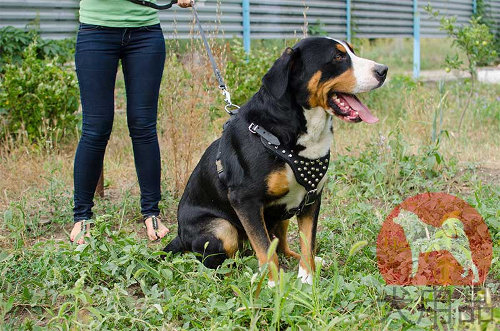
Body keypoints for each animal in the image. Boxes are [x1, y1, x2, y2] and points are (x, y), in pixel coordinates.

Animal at [164, 37, 386, 286]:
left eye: (351, 52)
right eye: (338, 57)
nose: (383, 71)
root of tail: (179, 235)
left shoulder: (312, 199)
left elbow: (307, 243)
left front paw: (307, 277)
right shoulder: (245, 201)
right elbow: (264, 249)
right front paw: (273, 284)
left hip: (283, 216)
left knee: (282, 247)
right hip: (222, 228)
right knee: (222, 264)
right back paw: (244, 275)